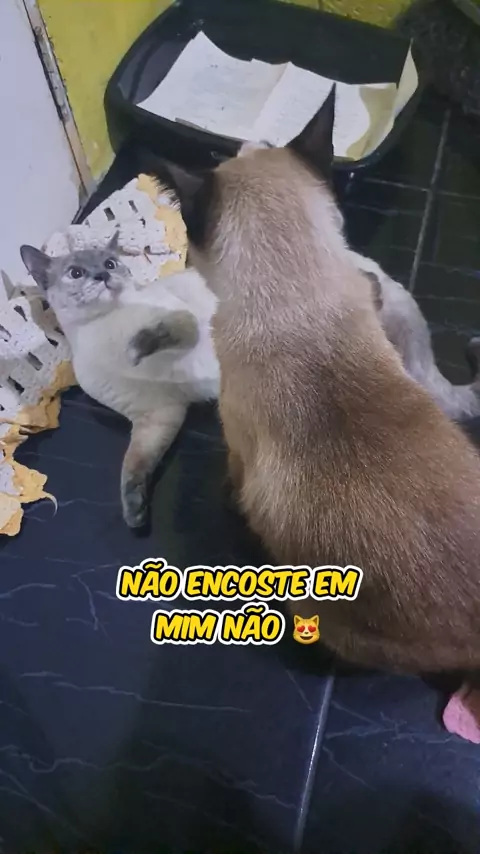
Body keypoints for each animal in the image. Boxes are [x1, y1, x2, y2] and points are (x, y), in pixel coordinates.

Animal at [20, 234, 219, 529]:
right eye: (76, 273)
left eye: (110, 264)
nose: (103, 275)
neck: (104, 329)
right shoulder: (158, 415)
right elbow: (134, 464)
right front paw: (135, 514)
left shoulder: (185, 323)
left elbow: (169, 330)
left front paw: (135, 350)